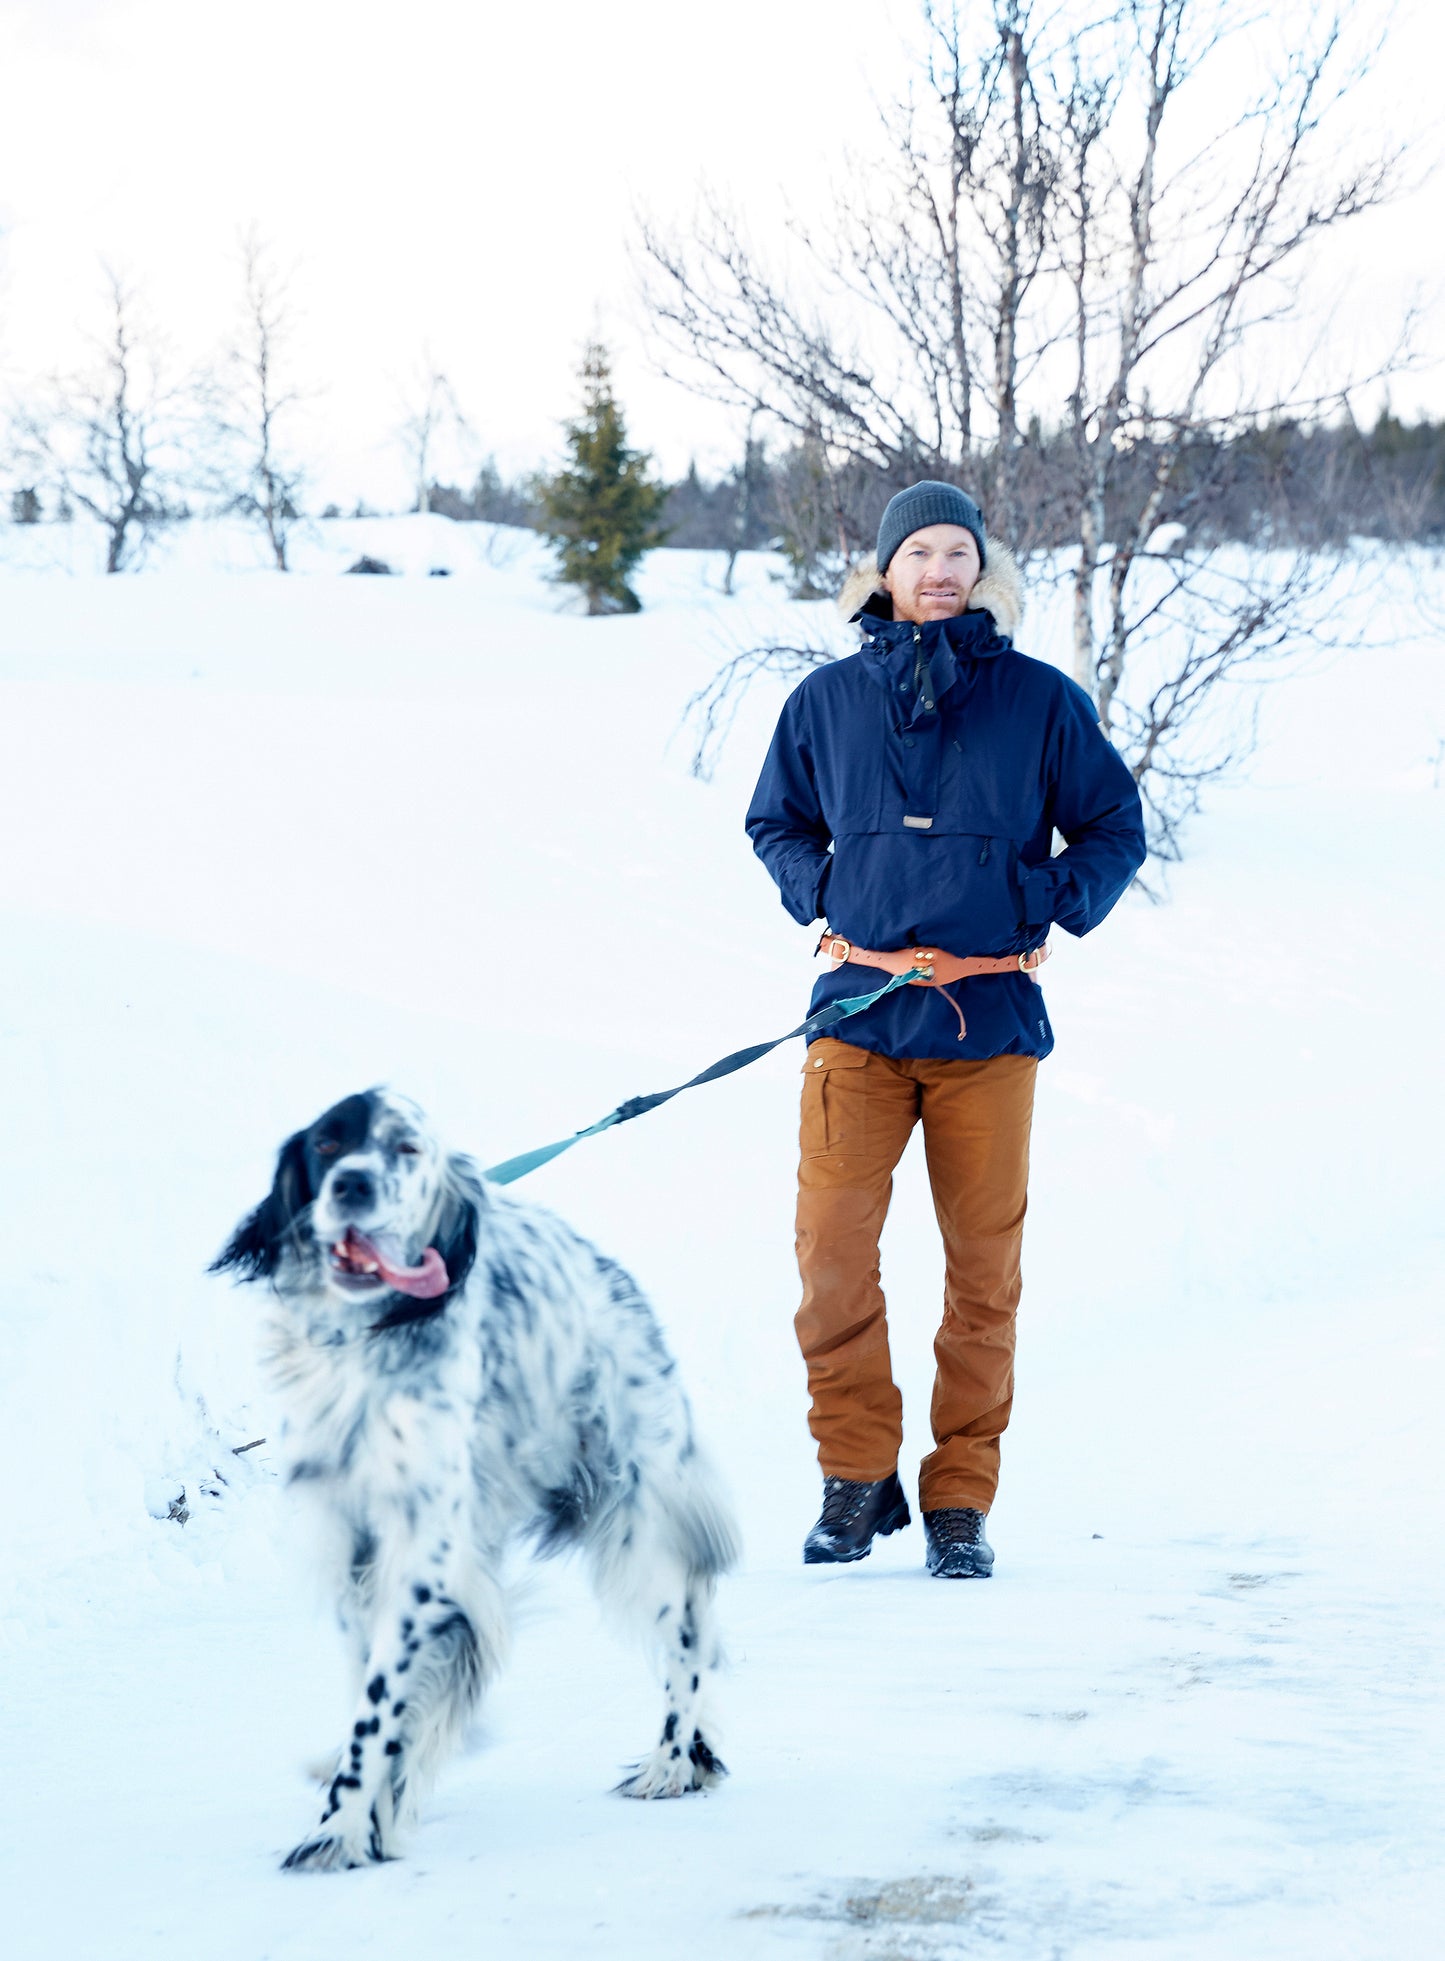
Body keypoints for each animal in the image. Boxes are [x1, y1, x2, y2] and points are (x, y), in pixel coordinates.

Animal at [211, 1090, 733, 1866]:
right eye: (328, 1143)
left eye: (406, 1149)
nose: (352, 1186)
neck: (364, 1346)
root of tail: (615, 1279)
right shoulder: (349, 1540)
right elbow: (374, 1684)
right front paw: (375, 1804)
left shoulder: (421, 1549)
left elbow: (381, 1704)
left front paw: (341, 1827)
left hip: (637, 1523)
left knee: (688, 1642)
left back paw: (670, 1762)